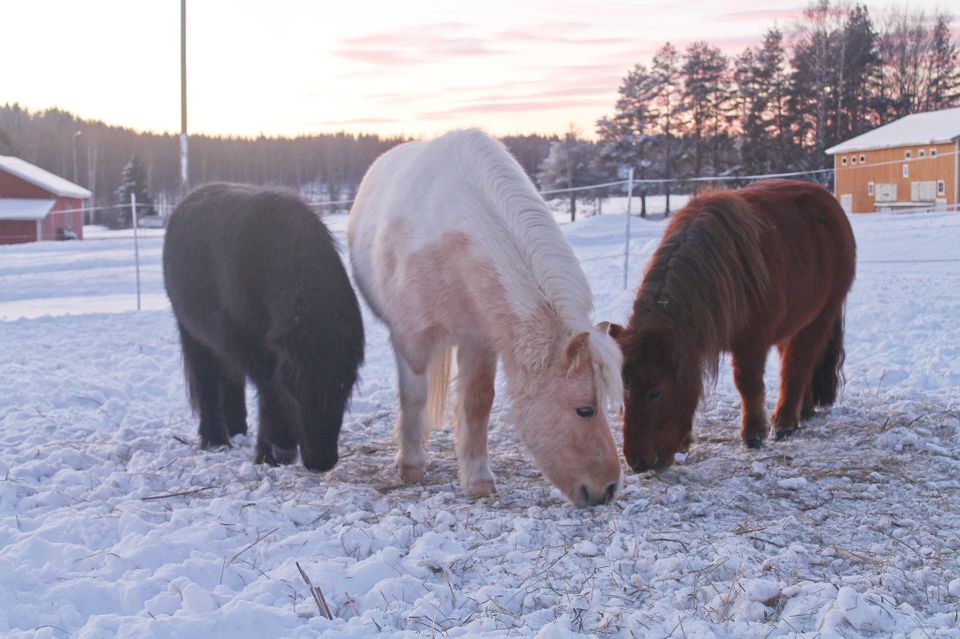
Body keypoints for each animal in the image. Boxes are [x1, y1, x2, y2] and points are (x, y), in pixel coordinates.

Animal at [164, 182, 364, 472]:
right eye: (292, 390)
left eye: (346, 386)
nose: (321, 462)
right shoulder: (253, 348)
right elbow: (268, 387)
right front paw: (271, 452)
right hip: (193, 335)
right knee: (207, 382)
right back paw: (216, 440)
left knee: (230, 379)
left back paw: (237, 428)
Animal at [348, 130, 628, 508]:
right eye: (584, 409)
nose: (607, 489)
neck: (448, 237)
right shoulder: (410, 339)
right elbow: (414, 398)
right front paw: (410, 465)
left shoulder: (477, 340)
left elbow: (477, 404)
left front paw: (478, 479)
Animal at [608, 179, 856, 470]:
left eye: (656, 392)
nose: (637, 462)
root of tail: (827, 201)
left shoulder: (752, 342)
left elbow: (748, 384)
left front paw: (753, 434)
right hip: (793, 323)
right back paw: (801, 412)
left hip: (819, 318)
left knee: (798, 365)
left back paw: (784, 422)